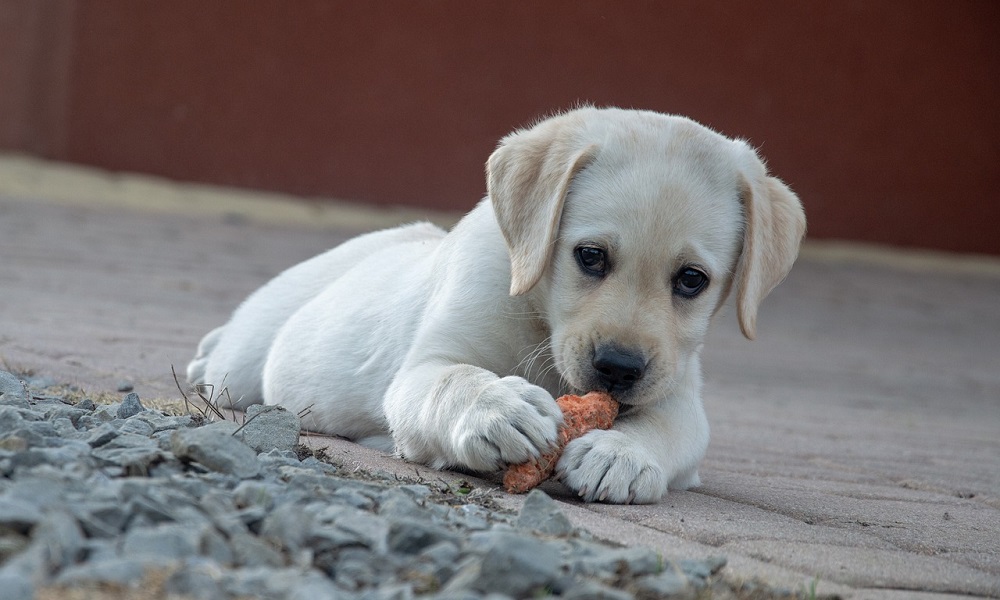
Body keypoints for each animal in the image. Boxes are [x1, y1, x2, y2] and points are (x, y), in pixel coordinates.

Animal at [191, 106, 808, 502]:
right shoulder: (423, 369)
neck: (539, 319)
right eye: (590, 256)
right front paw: (497, 409)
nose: (618, 368)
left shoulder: (679, 392)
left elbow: (669, 428)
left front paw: (622, 454)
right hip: (246, 360)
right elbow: (453, 380)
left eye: (691, 280)